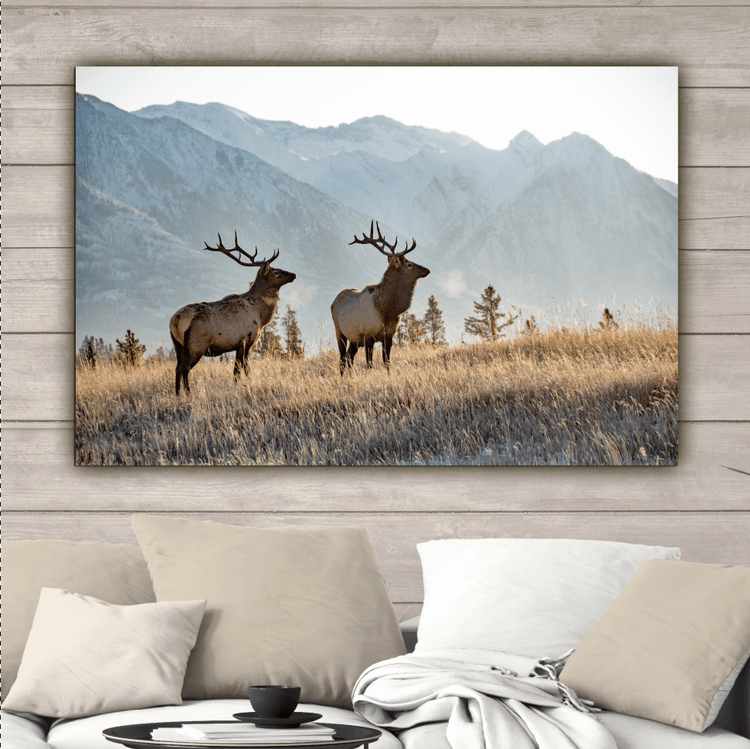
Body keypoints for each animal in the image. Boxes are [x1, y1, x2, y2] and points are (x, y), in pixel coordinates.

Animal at [169, 232, 296, 395]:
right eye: (276, 272)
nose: (293, 274)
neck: (261, 316)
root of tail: (175, 319)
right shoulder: (245, 340)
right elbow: (242, 369)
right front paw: (246, 384)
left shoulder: (238, 345)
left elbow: (237, 369)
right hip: (196, 345)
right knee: (184, 369)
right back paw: (189, 394)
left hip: (177, 345)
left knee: (177, 368)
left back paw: (178, 395)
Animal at [331, 221, 430, 375]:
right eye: (409, 264)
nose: (427, 270)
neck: (388, 311)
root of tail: (333, 302)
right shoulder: (368, 336)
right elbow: (369, 364)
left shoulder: (389, 335)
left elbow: (386, 362)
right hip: (340, 332)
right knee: (342, 359)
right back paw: (342, 378)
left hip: (354, 339)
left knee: (349, 357)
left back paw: (351, 377)